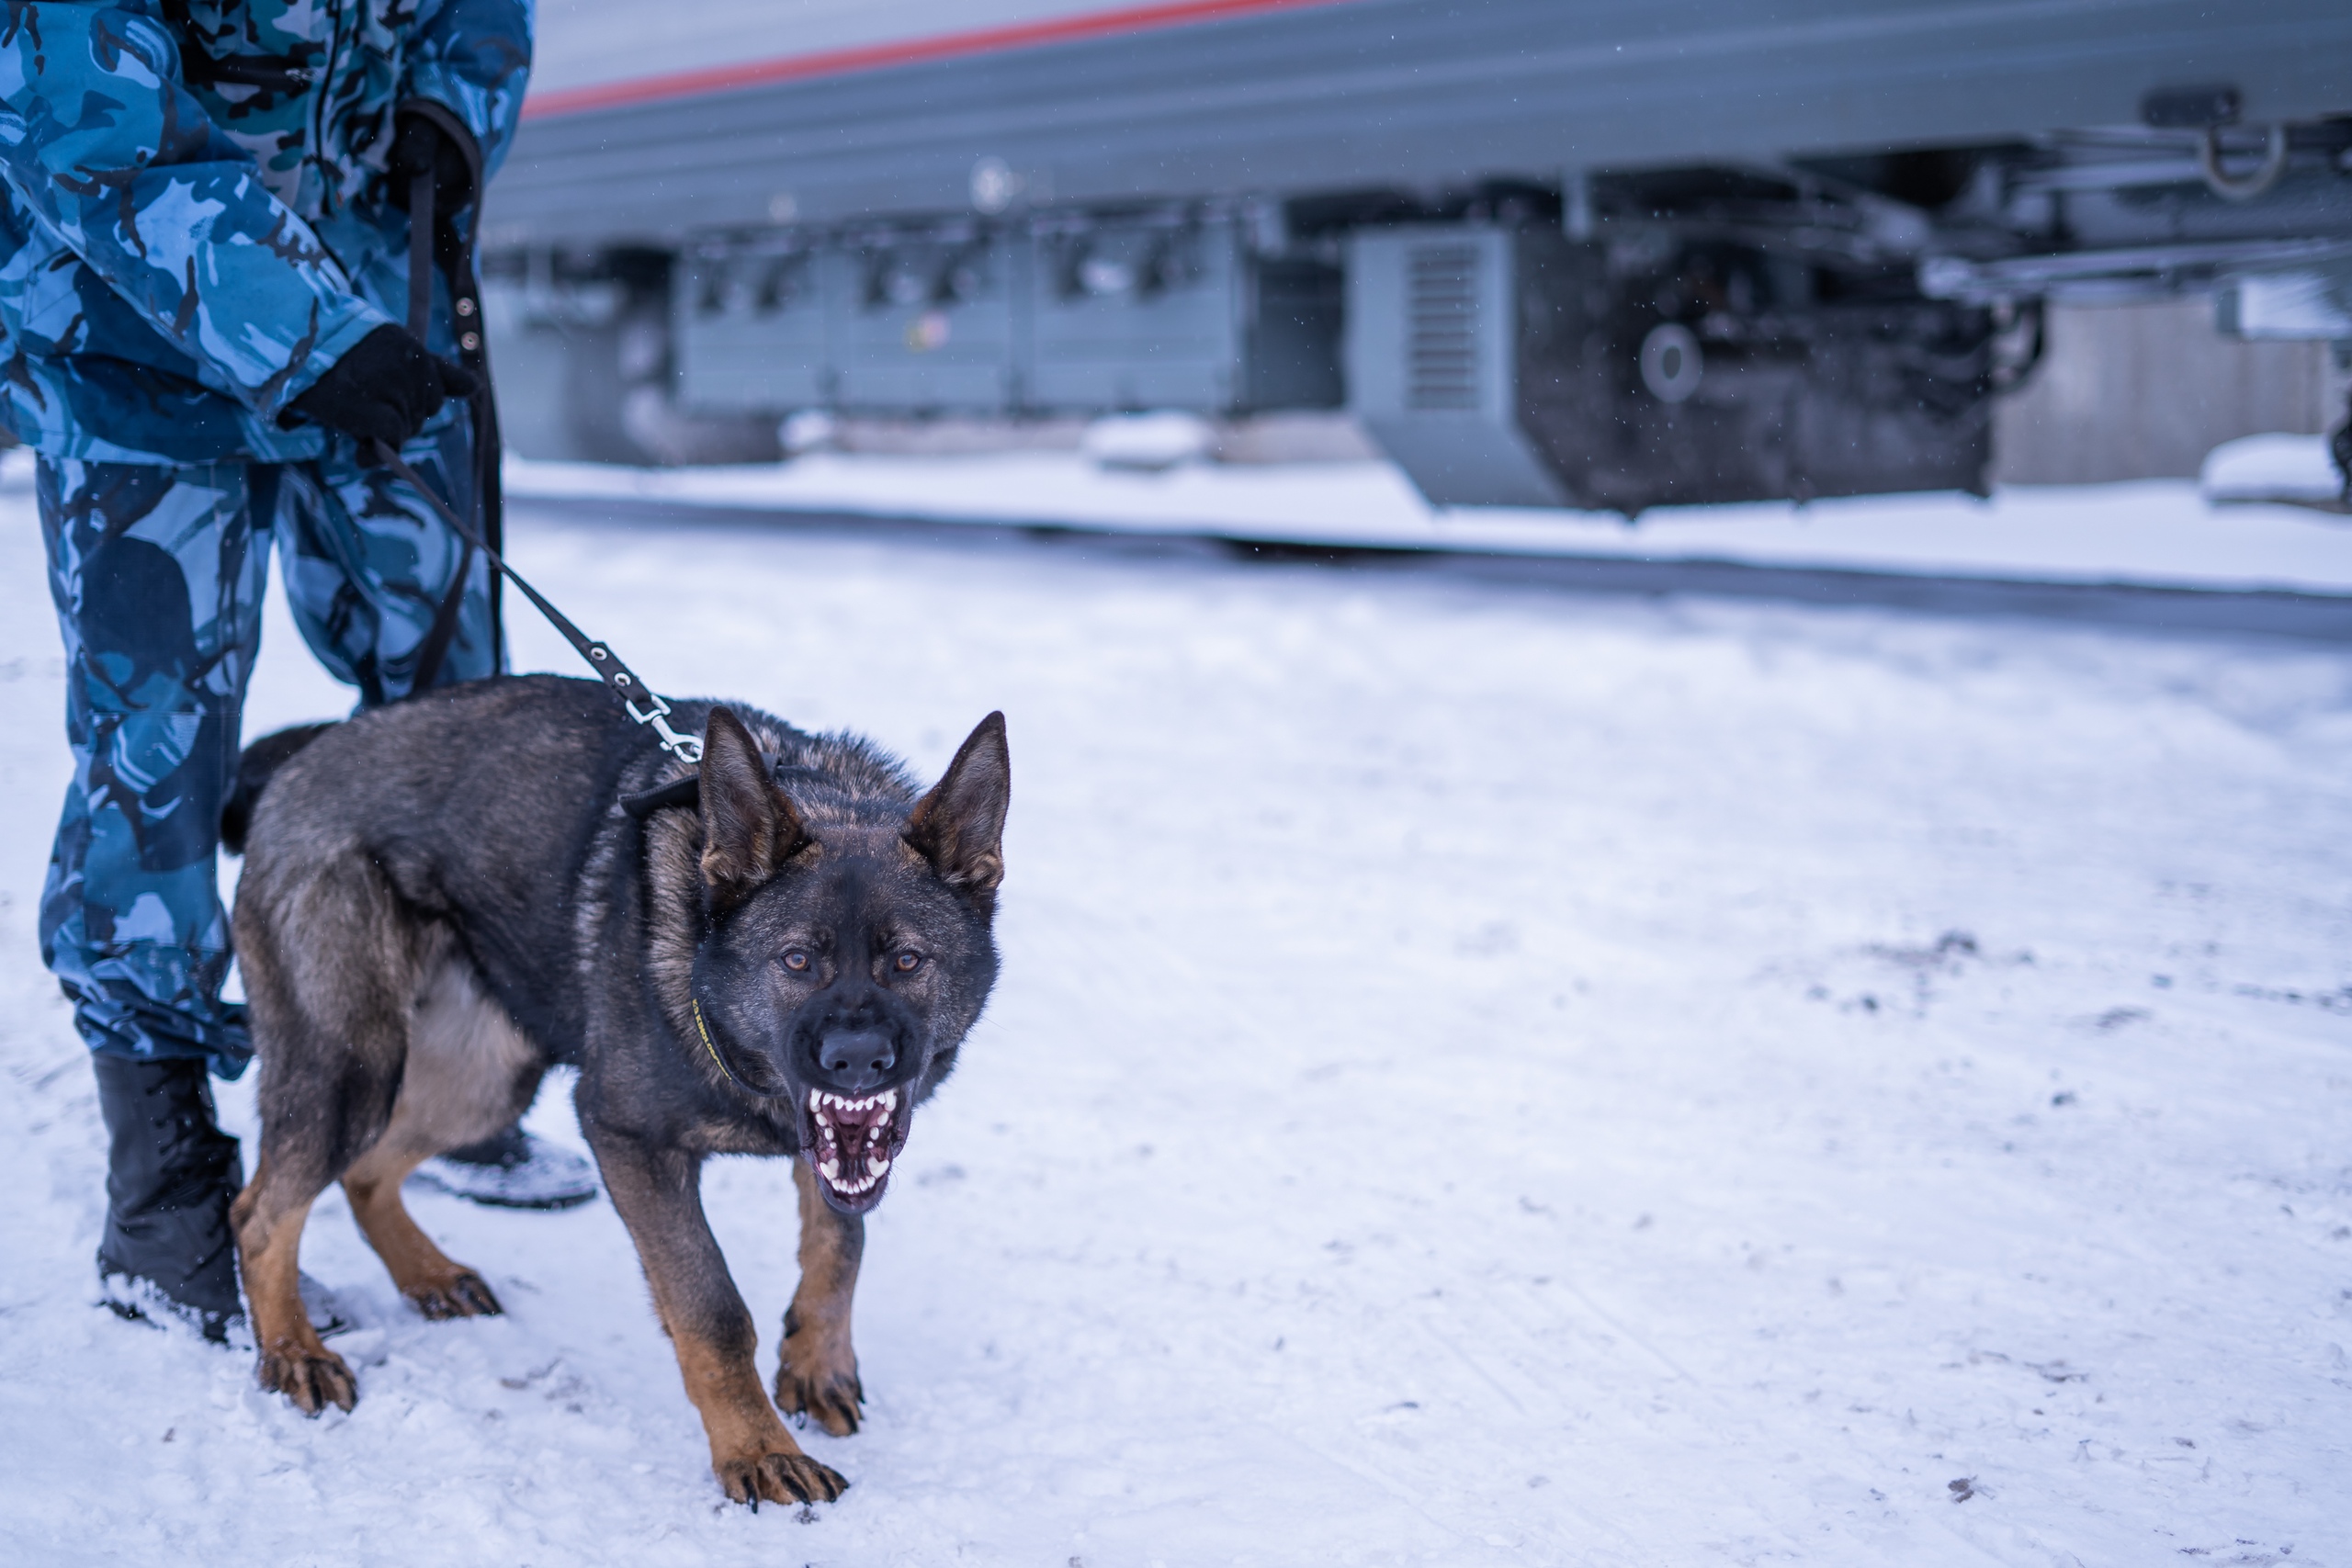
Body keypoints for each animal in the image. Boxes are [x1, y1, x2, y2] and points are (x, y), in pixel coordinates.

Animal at [211, 677, 1001, 1504]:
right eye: (795, 960)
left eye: (908, 960)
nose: (857, 1061)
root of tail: (309, 751)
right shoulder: (629, 1138)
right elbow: (711, 1305)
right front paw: (757, 1450)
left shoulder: (832, 1143)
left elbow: (841, 1243)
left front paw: (818, 1363)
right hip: (353, 1071)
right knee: (260, 1212)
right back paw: (293, 1349)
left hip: (483, 1083)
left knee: (367, 1170)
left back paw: (426, 1275)